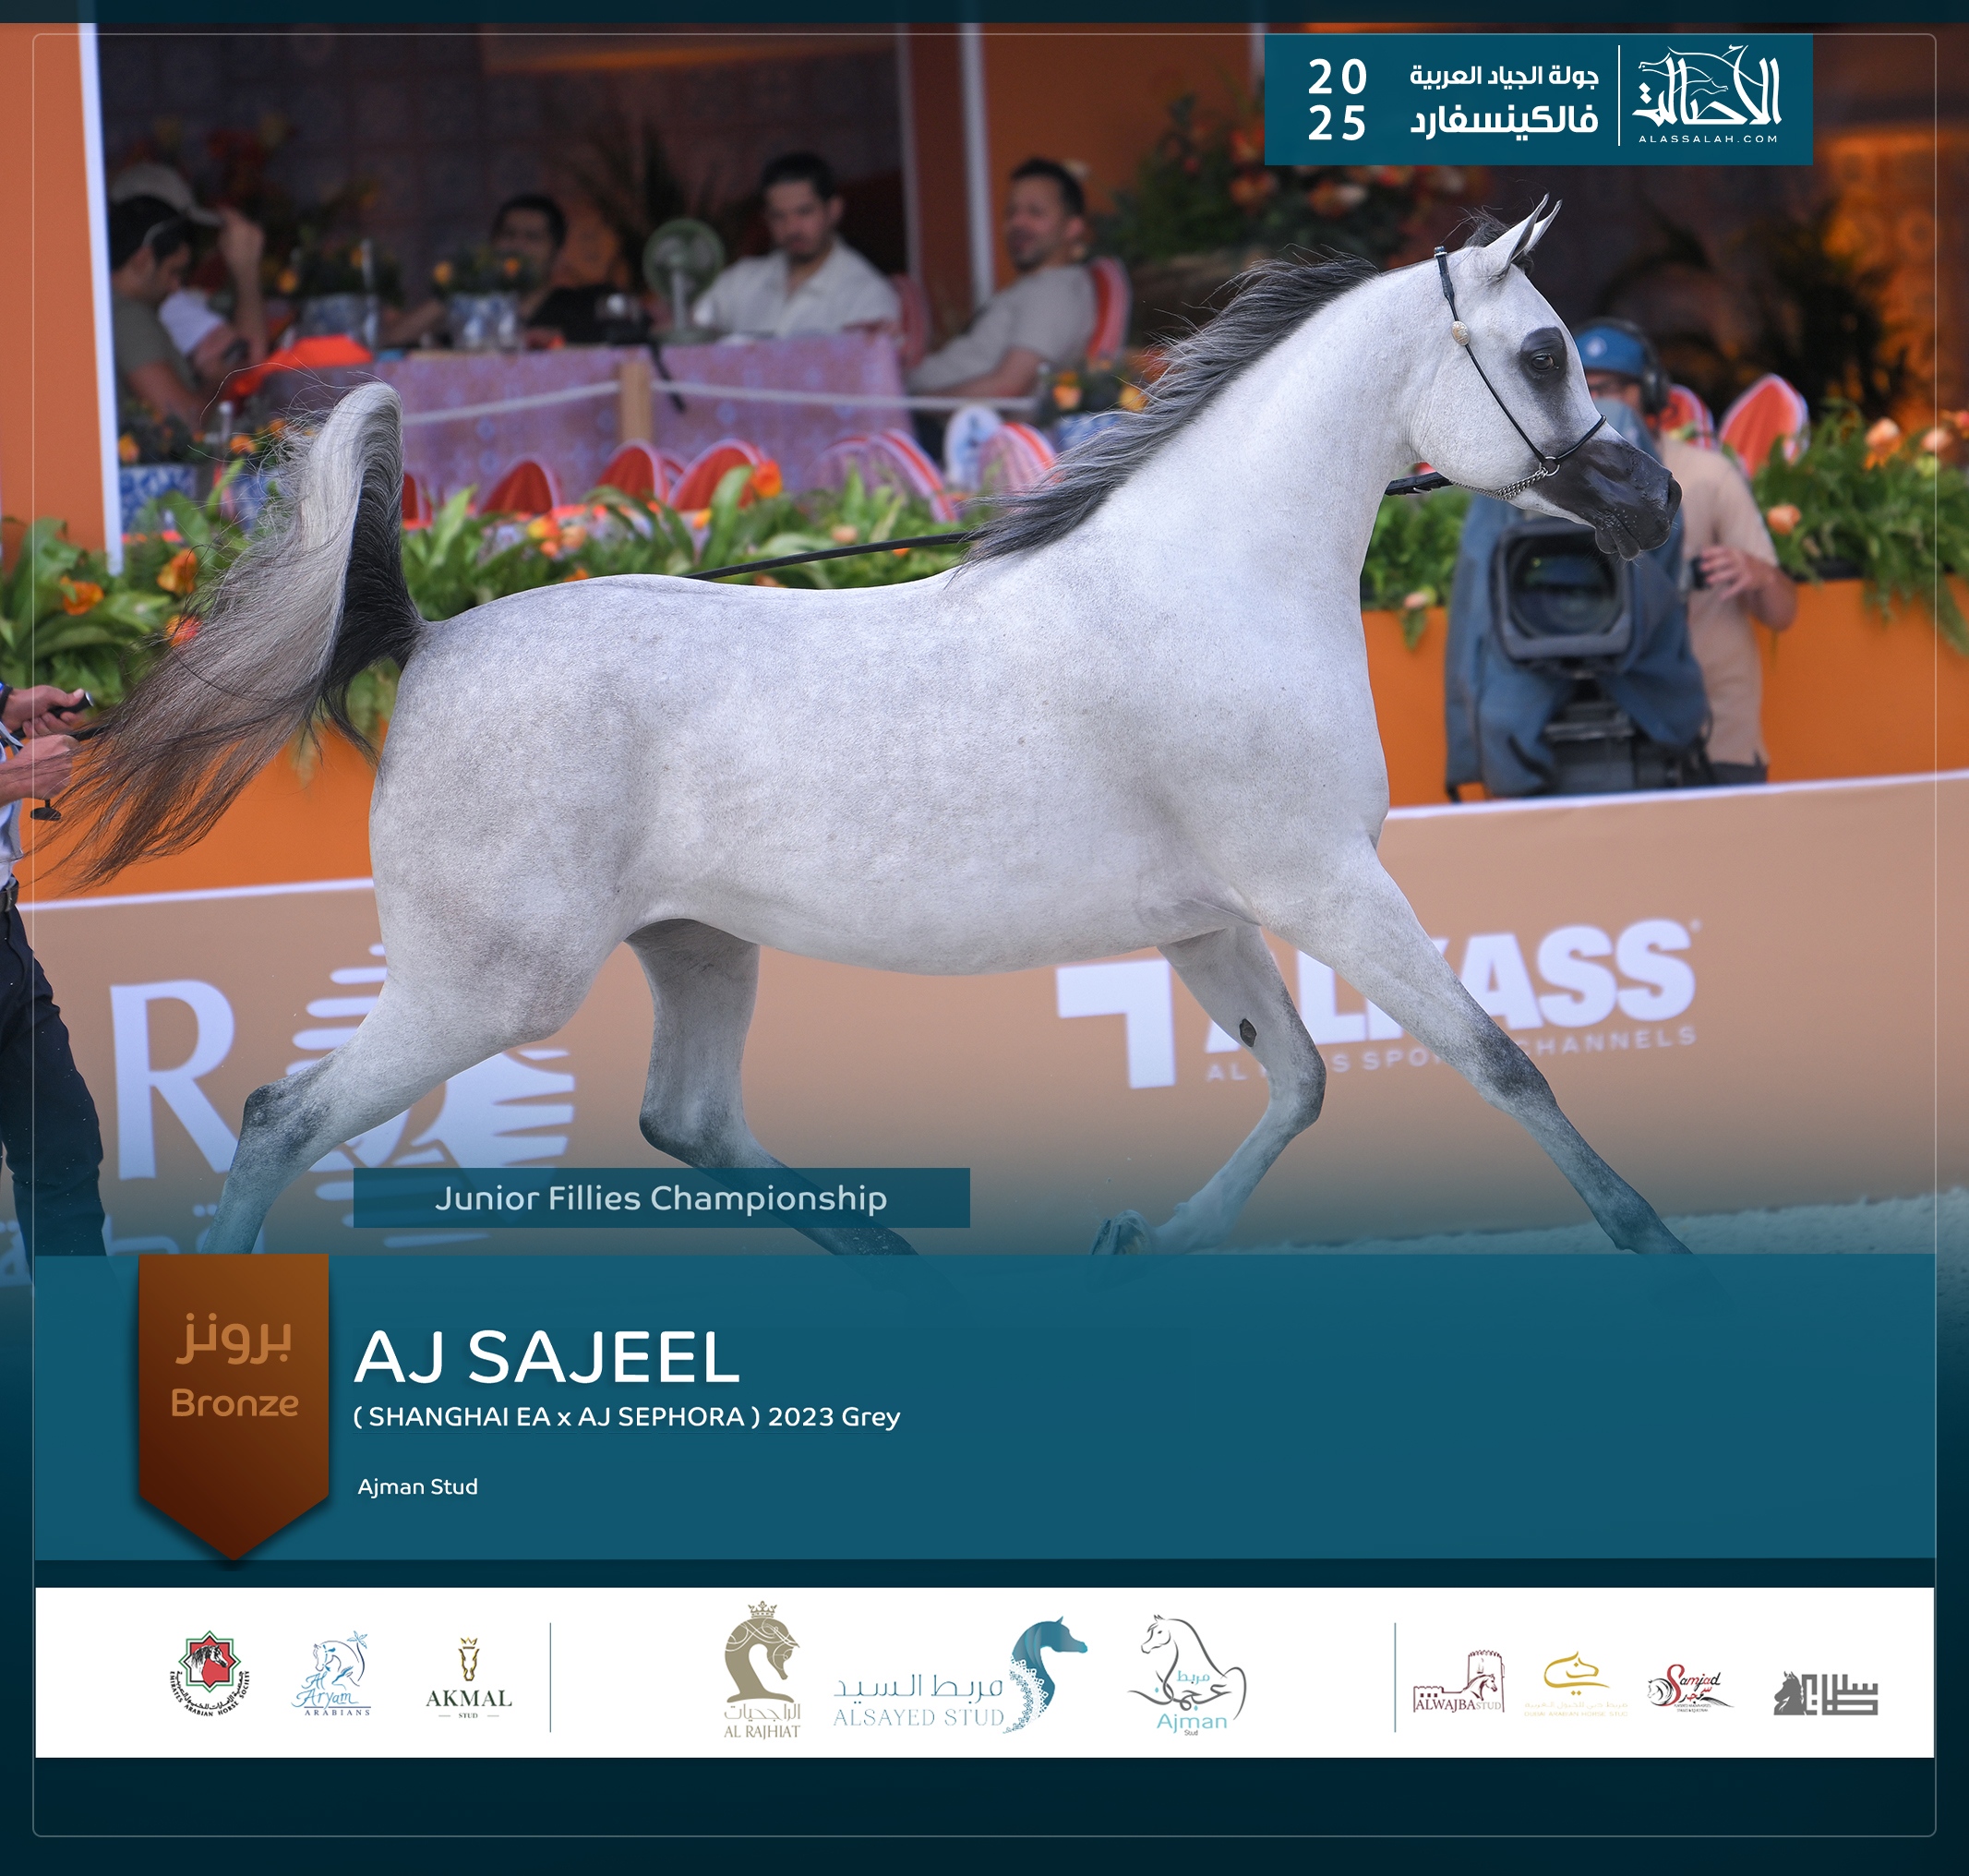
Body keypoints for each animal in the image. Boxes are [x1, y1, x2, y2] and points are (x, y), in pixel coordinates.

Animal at [68, 200, 1689, 1259]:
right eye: (1544, 356)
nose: (1655, 503)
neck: (1211, 580)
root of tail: (435, 639)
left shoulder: (1207, 918)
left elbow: (1298, 1082)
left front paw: (1142, 1242)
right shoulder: (1324, 887)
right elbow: (1498, 1062)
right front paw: (1651, 1243)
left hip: (697, 949)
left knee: (688, 1125)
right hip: (488, 989)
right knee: (280, 1117)